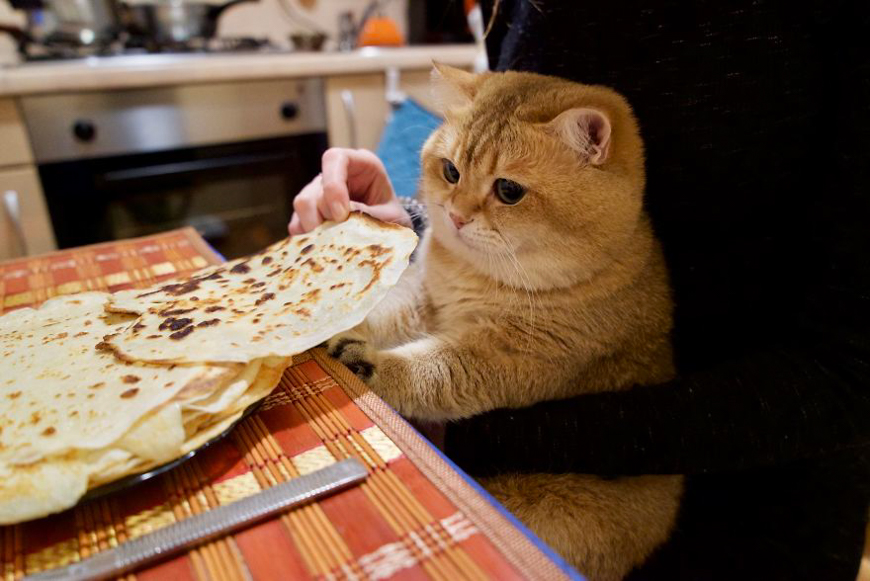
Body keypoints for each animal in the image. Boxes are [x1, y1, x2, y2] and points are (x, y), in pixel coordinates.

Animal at [330, 64, 684, 580]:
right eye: (451, 171)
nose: (455, 216)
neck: (478, 276)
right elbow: (386, 315)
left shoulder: (509, 357)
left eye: (509, 191)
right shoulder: (424, 300)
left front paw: (368, 364)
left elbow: (430, 372)